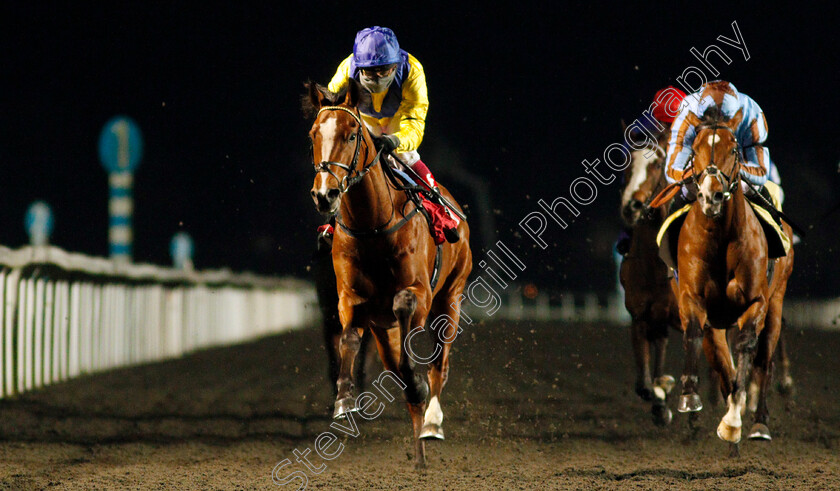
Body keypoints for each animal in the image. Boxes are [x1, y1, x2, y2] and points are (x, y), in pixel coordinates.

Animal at [304, 78, 472, 468]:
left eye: (352, 134)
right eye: (313, 134)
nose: (325, 194)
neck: (373, 225)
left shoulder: (420, 294)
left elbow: (405, 310)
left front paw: (418, 386)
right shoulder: (350, 299)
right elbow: (348, 339)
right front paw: (344, 401)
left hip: (451, 297)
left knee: (440, 360)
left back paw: (431, 421)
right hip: (383, 327)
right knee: (394, 362)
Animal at [668, 108, 796, 454]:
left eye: (734, 149)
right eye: (694, 148)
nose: (711, 195)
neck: (720, 238)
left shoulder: (756, 302)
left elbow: (748, 348)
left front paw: (734, 421)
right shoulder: (693, 299)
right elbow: (700, 340)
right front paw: (689, 396)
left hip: (776, 301)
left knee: (765, 359)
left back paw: (759, 422)